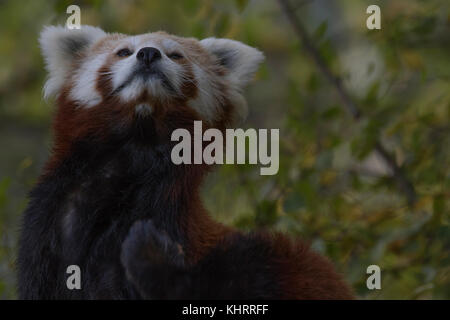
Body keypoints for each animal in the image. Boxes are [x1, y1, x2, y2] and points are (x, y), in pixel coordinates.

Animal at [17, 25, 354, 300]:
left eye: (175, 55)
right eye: (123, 51)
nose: (148, 54)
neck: (138, 146)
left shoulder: (169, 220)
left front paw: (149, 256)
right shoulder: (49, 230)